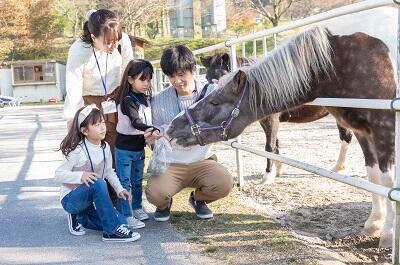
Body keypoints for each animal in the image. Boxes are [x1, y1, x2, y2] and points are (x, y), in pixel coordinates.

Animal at [200, 52, 354, 183]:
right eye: (207, 78)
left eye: (223, 76)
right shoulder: (266, 121)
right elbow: (276, 144)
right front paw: (278, 170)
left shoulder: (271, 120)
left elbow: (269, 146)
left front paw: (268, 175)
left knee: (346, 136)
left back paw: (338, 168)